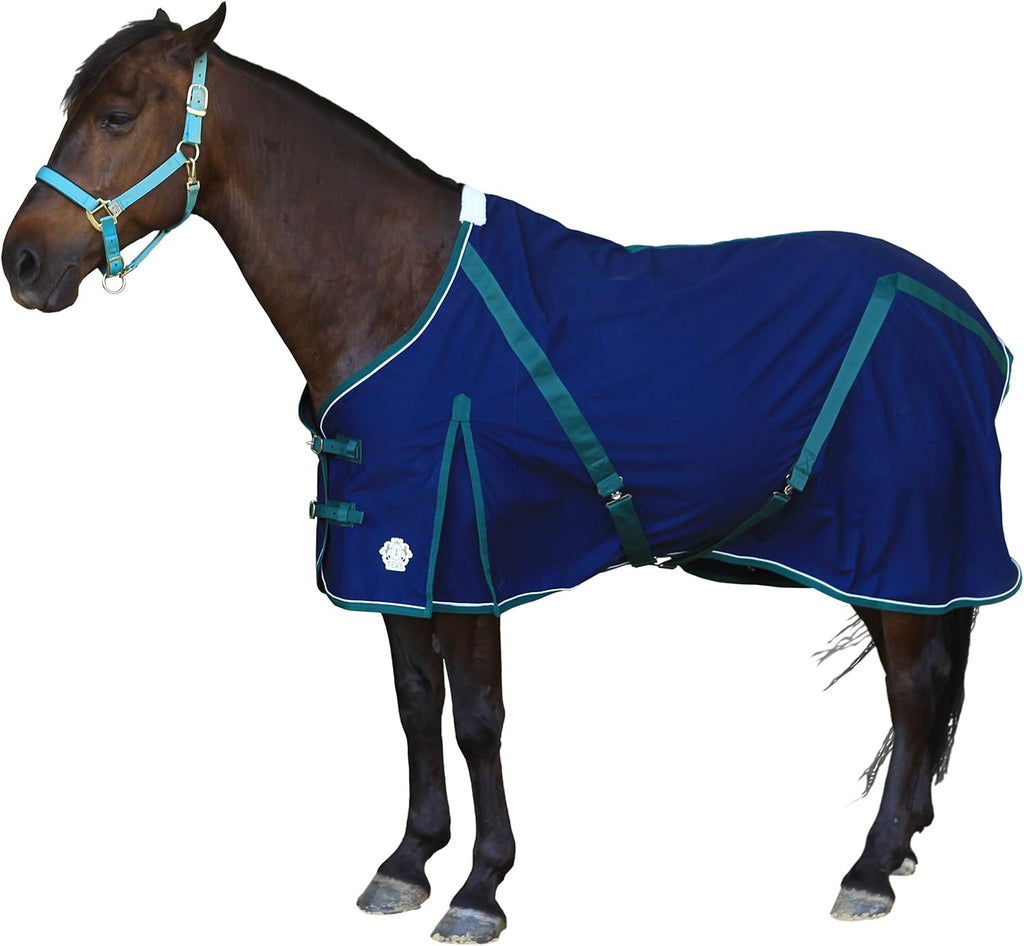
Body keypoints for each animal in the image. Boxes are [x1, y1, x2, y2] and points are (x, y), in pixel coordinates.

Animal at [3, 6, 1019, 942]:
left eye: (117, 116)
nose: (24, 262)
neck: (395, 291)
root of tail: (965, 316)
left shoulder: (464, 560)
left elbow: (478, 720)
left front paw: (480, 887)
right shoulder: (396, 558)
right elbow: (416, 708)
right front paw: (407, 861)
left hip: (897, 549)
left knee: (913, 687)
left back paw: (871, 868)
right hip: (893, 561)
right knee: (925, 686)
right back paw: (907, 842)